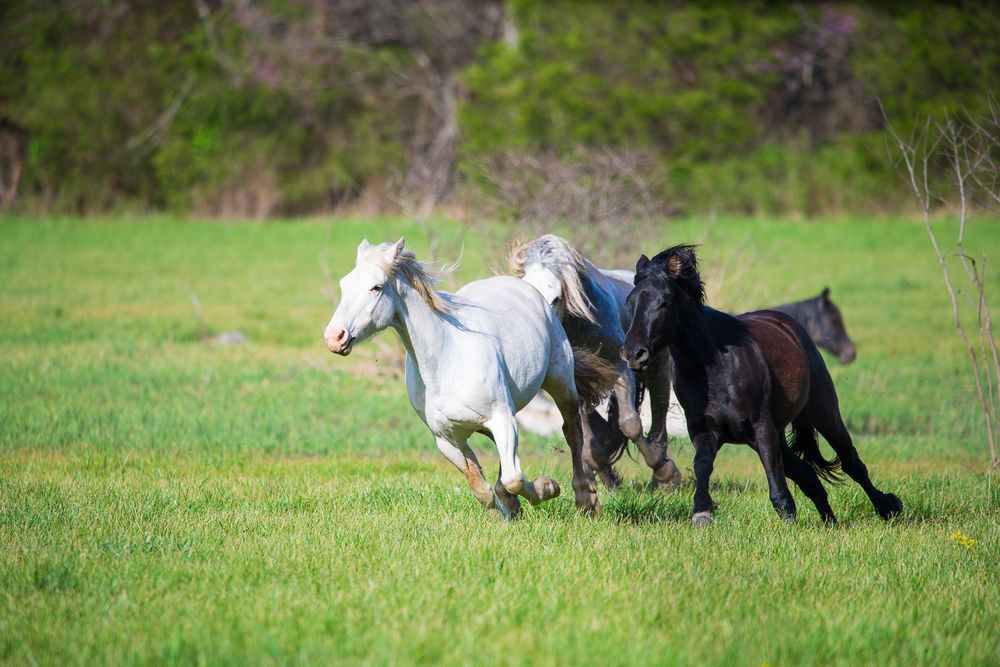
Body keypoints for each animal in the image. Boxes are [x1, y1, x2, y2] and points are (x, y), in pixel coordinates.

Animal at [324, 238, 617, 516]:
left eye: (376, 287)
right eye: (343, 284)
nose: (334, 337)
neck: (446, 361)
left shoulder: (501, 418)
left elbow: (513, 479)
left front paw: (548, 487)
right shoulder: (447, 438)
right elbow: (481, 488)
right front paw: (508, 511)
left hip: (561, 385)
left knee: (572, 432)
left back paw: (586, 500)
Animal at [510, 234, 682, 491]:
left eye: (556, 298)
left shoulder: (621, 368)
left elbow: (630, 423)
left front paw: (665, 472)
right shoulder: (575, 386)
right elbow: (590, 442)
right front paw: (605, 480)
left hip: (658, 369)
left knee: (659, 415)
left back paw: (662, 479)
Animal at [621, 245, 902, 525]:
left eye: (664, 303)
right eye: (629, 302)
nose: (634, 354)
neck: (713, 366)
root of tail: (791, 327)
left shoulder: (761, 426)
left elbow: (777, 484)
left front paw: (788, 521)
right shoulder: (704, 430)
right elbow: (702, 464)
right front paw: (702, 513)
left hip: (823, 414)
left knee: (851, 463)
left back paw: (888, 508)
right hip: (775, 434)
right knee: (809, 478)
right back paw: (829, 522)